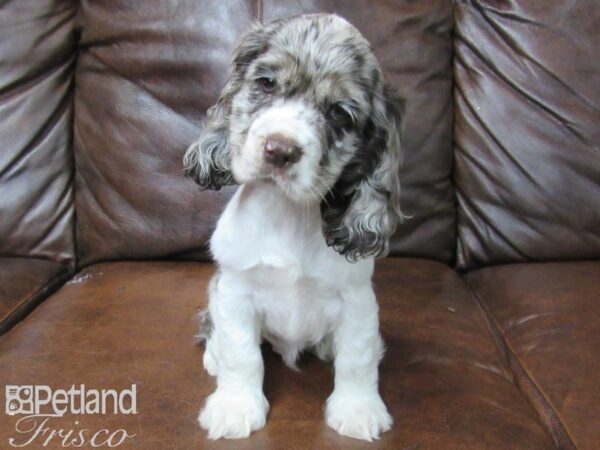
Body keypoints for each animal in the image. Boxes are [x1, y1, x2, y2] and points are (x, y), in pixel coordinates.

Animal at [184, 14, 404, 442]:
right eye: (266, 83)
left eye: (340, 114)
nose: (280, 150)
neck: (288, 213)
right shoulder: (235, 290)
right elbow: (242, 354)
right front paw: (235, 406)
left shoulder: (357, 300)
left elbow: (357, 358)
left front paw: (358, 410)